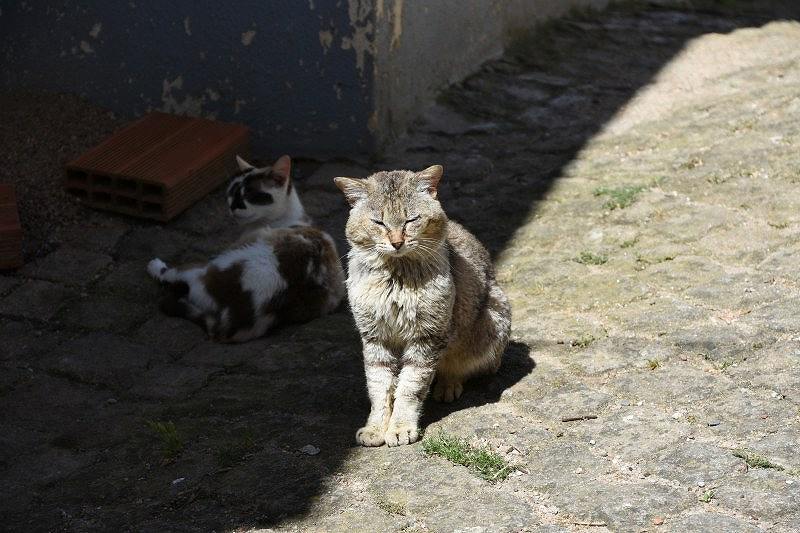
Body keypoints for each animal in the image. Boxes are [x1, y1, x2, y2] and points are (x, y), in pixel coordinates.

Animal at [148, 156, 346, 342]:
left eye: (250, 195)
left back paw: (156, 267)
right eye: (231, 193)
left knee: (173, 275)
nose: (232, 207)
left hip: (206, 267)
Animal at [332, 164, 510, 446]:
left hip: (489, 323)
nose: (396, 242)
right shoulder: (374, 337)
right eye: (379, 222)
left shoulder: (427, 336)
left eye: (410, 220)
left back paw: (448, 386)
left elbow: (410, 387)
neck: (396, 277)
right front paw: (375, 428)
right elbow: (379, 387)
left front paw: (400, 427)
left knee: (459, 367)